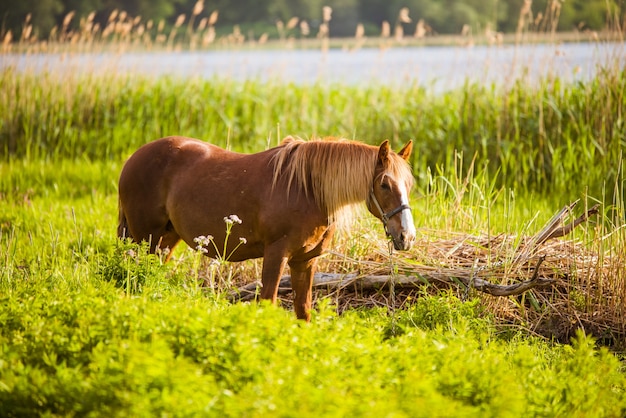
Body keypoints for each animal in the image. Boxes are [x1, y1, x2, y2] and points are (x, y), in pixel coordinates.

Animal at [119, 136, 416, 318]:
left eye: (409, 185)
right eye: (384, 184)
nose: (407, 237)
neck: (308, 189)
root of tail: (133, 158)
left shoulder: (305, 261)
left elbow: (303, 310)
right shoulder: (276, 255)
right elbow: (267, 303)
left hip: (166, 240)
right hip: (145, 238)